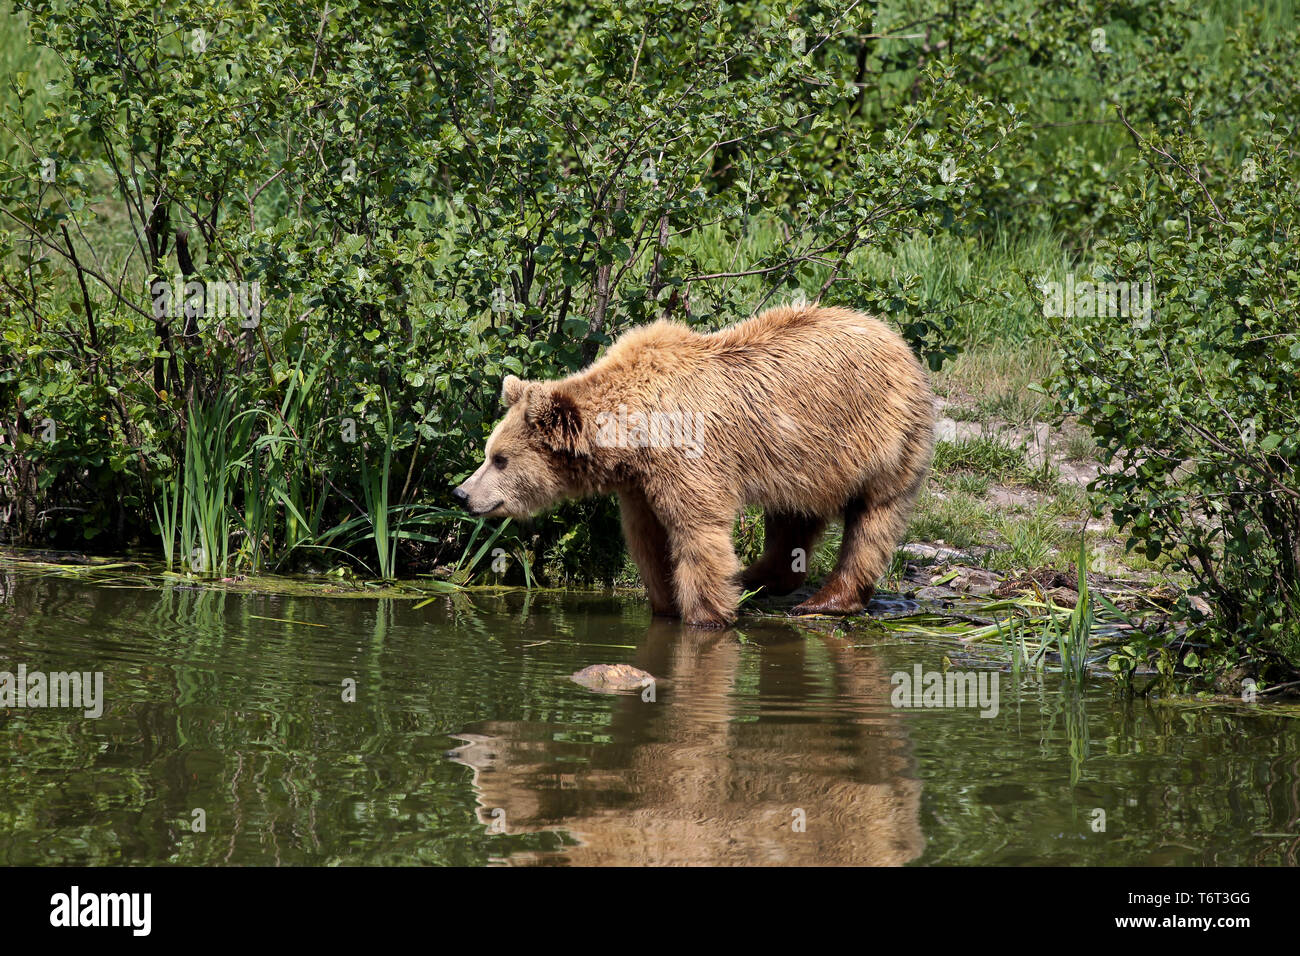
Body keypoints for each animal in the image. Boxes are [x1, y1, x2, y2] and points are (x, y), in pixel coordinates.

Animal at [453, 304, 935, 628]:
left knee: (873, 519)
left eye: (500, 459)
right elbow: (648, 538)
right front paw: (666, 603)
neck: (634, 435)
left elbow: (697, 530)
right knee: (793, 517)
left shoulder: (687, 458)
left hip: (881, 437)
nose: (461, 493)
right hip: (803, 458)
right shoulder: (639, 483)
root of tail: (898, 339)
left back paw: (826, 599)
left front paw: (707, 614)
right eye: (488, 452)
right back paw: (758, 577)